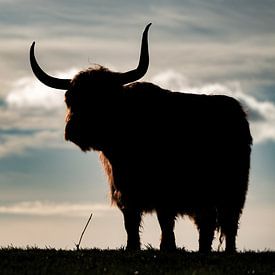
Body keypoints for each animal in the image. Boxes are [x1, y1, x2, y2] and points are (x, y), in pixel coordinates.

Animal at [29, 23, 252, 252]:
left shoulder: (164, 191)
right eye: (71, 98)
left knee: (229, 224)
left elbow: (165, 221)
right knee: (206, 224)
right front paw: (132, 247)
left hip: (233, 191)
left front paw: (167, 247)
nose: (75, 129)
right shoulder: (126, 193)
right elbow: (131, 223)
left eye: (105, 98)